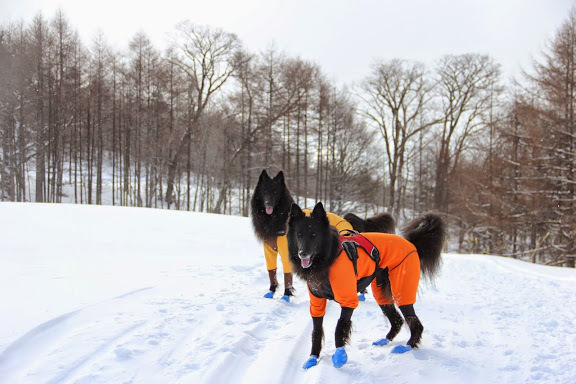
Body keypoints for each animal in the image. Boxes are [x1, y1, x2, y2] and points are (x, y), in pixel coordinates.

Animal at [288, 202, 446, 368]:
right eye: (299, 235)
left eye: (314, 235)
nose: (302, 253)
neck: (328, 259)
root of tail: (411, 244)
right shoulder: (317, 302)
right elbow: (316, 331)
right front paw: (313, 357)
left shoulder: (349, 300)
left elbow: (340, 327)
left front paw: (340, 356)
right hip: (382, 293)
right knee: (397, 320)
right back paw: (385, 340)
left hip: (401, 290)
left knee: (415, 323)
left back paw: (407, 346)